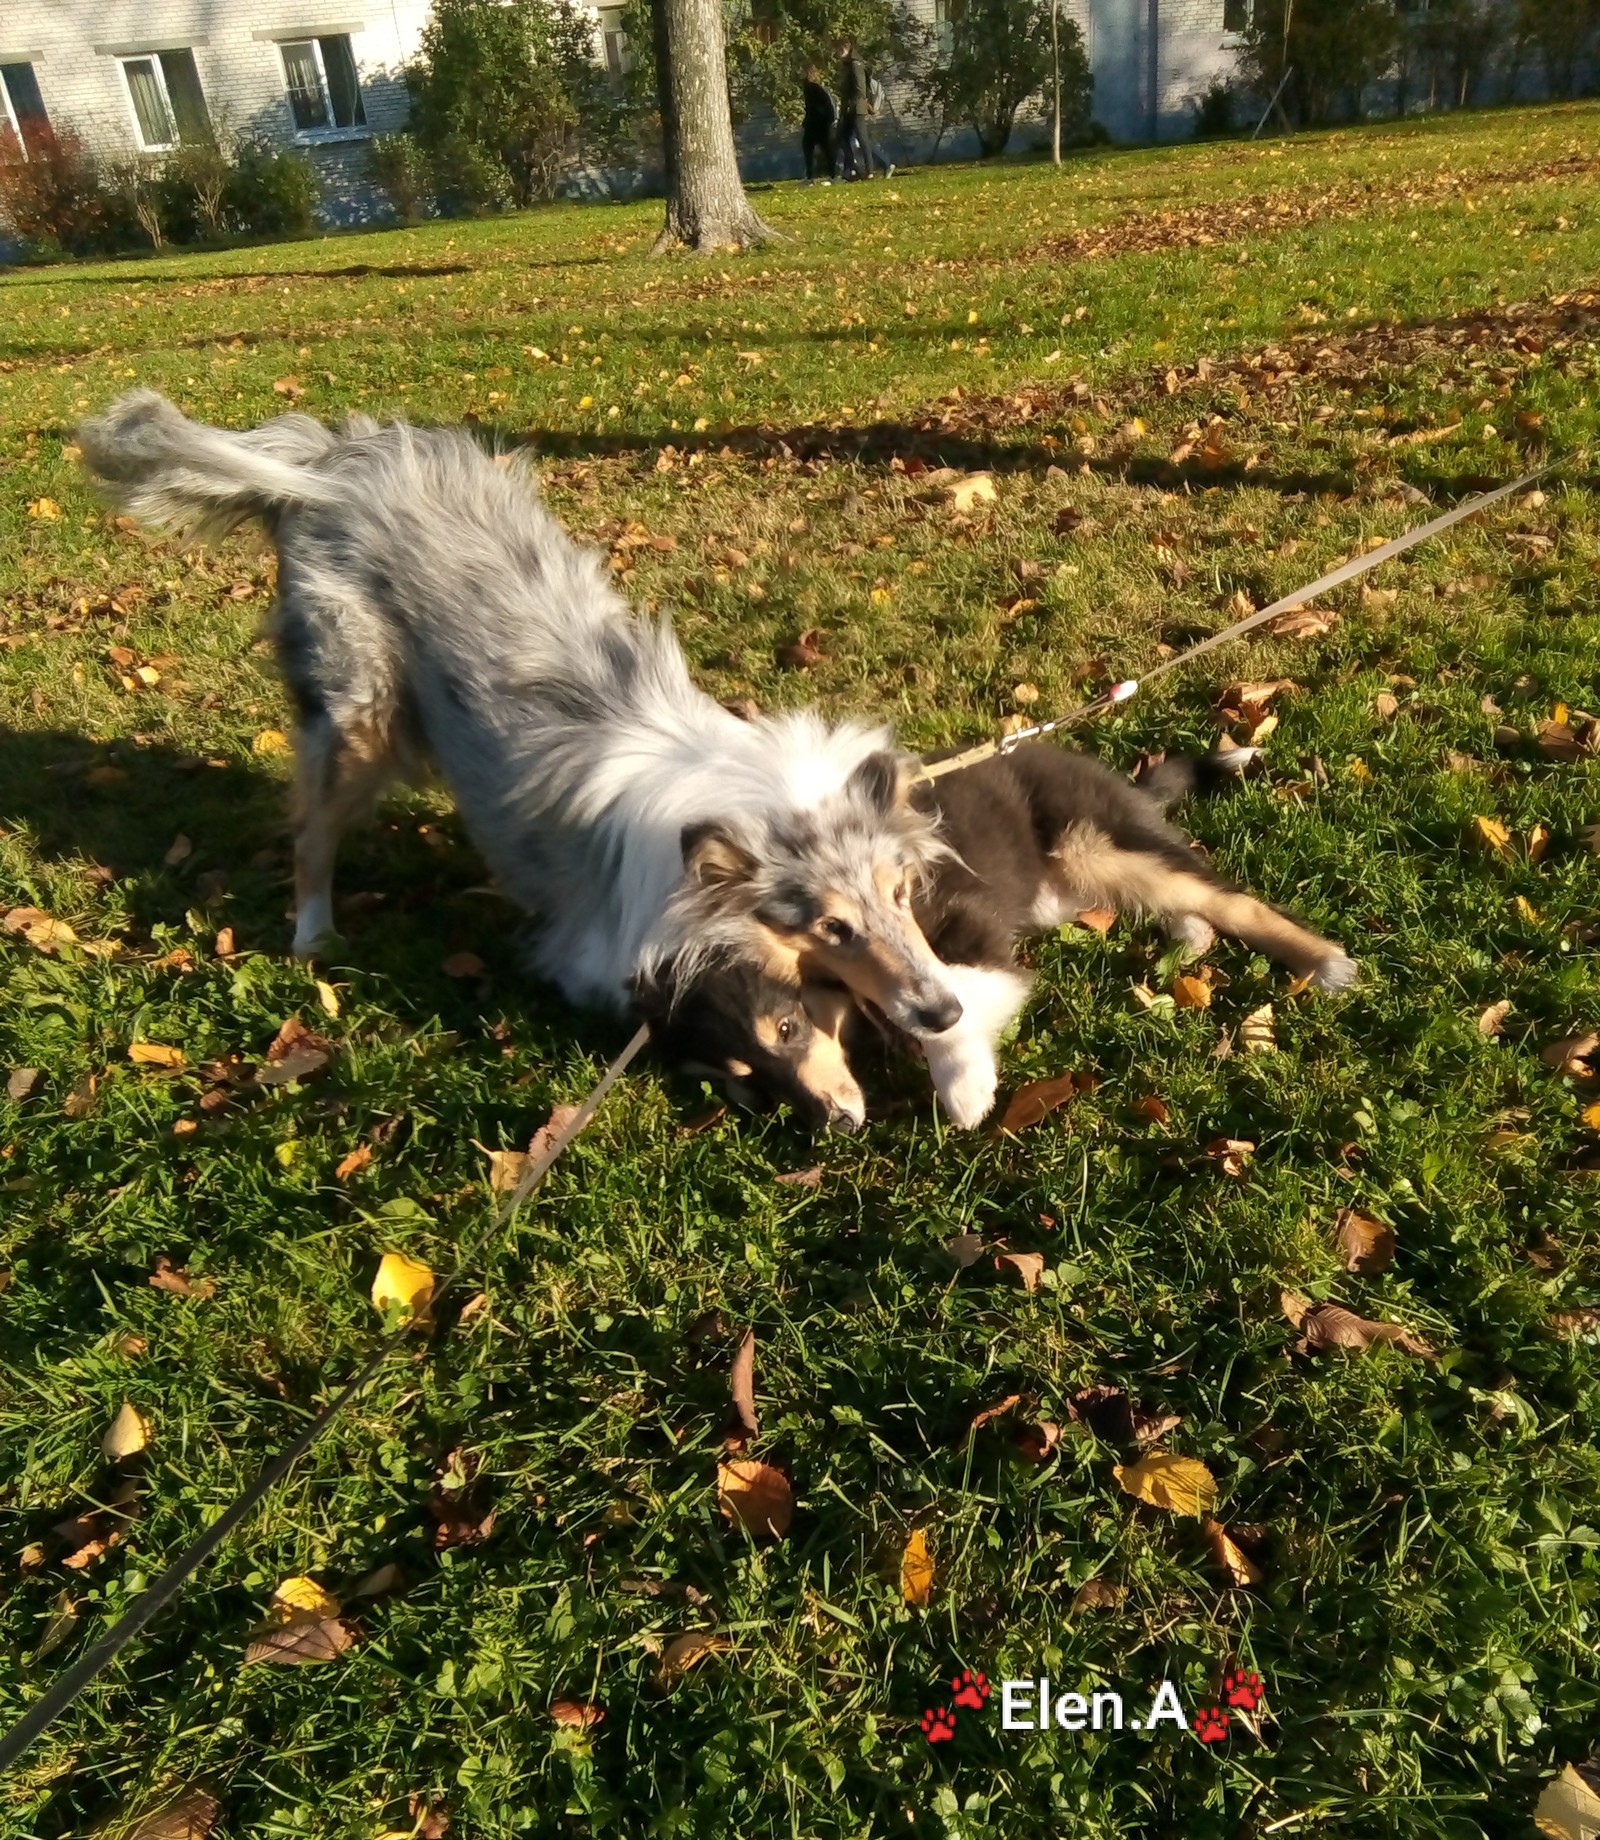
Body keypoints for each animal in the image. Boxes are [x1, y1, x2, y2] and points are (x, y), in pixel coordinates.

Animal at [78, 391, 963, 1037]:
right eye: (831, 927)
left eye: (897, 896)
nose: (946, 1012)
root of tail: (329, 462)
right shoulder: (604, 956)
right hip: (358, 710)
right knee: (311, 837)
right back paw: (314, 938)